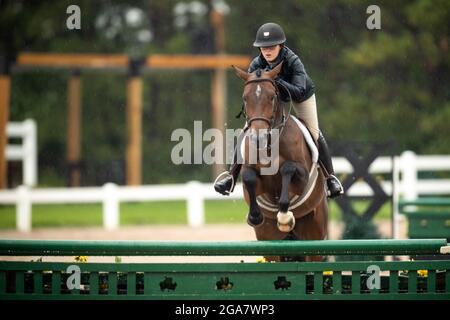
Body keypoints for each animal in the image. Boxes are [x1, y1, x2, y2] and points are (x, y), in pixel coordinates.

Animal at [232, 63, 326, 262]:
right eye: (245, 98)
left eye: (272, 97)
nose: (258, 138)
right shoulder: (254, 179)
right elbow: (249, 177)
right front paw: (254, 217)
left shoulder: (302, 178)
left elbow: (287, 169)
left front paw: (284, 217)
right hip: (269, 243)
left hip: (314, 235)